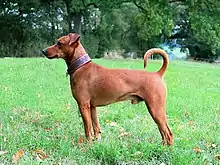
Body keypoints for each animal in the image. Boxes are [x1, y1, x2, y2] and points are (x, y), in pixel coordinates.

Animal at [42, 32, 174, 145]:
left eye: (59, 43)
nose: (43, 51)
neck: (81, 66)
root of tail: (158, 74)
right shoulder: (92, 107)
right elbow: (96, 127)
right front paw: (96, 143)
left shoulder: (83, 105)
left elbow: (87, 128)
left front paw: (87, 145)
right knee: (163, 132)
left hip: (155, 109)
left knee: (168, 133)